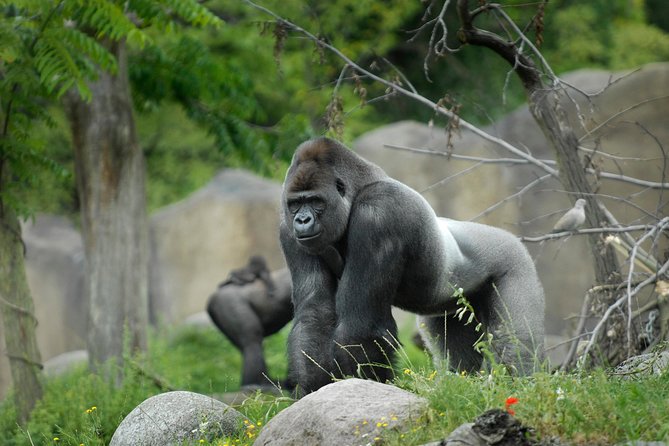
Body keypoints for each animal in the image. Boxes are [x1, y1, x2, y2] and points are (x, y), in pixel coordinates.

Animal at [280, 139, 544, 394]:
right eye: (295, 204)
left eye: (315, 201)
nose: (302, 220)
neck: (359, 188)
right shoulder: (287, 228)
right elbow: (315, 312)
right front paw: (312, 388)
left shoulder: (379, 214)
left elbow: (361, 324)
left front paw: (363, 385)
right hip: (452, 306)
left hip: (514, 259)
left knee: (513, 343)